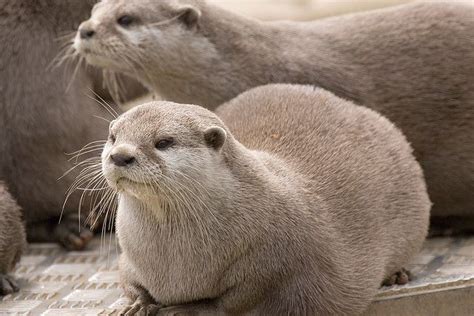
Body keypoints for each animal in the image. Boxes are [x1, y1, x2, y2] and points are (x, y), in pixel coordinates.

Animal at [102, 85, 432, 314]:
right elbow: (127, 279)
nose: (120, 155)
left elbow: (238, 300)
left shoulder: (275, 261)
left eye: (164, 142)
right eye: (113, 136)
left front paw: (189, 308)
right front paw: (133, 304)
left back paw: (396, 274)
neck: (175, 265)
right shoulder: (130, 258)